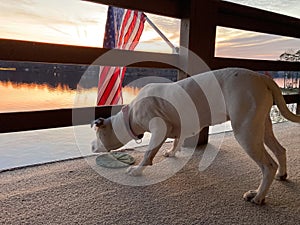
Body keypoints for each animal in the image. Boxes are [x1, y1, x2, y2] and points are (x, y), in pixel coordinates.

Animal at [91, 67, 300, 205]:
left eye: (98, 134)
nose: (92, 146)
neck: (130, 116)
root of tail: (262, 78)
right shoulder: (177, 126)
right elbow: (176, 141)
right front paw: (172, 152)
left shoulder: (159, 128)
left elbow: (148, 153)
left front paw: (137, 170)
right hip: (262, 127)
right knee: (280, 150)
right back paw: (282, 175)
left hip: (246, 132)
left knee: (268, 166)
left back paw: (258, 196)